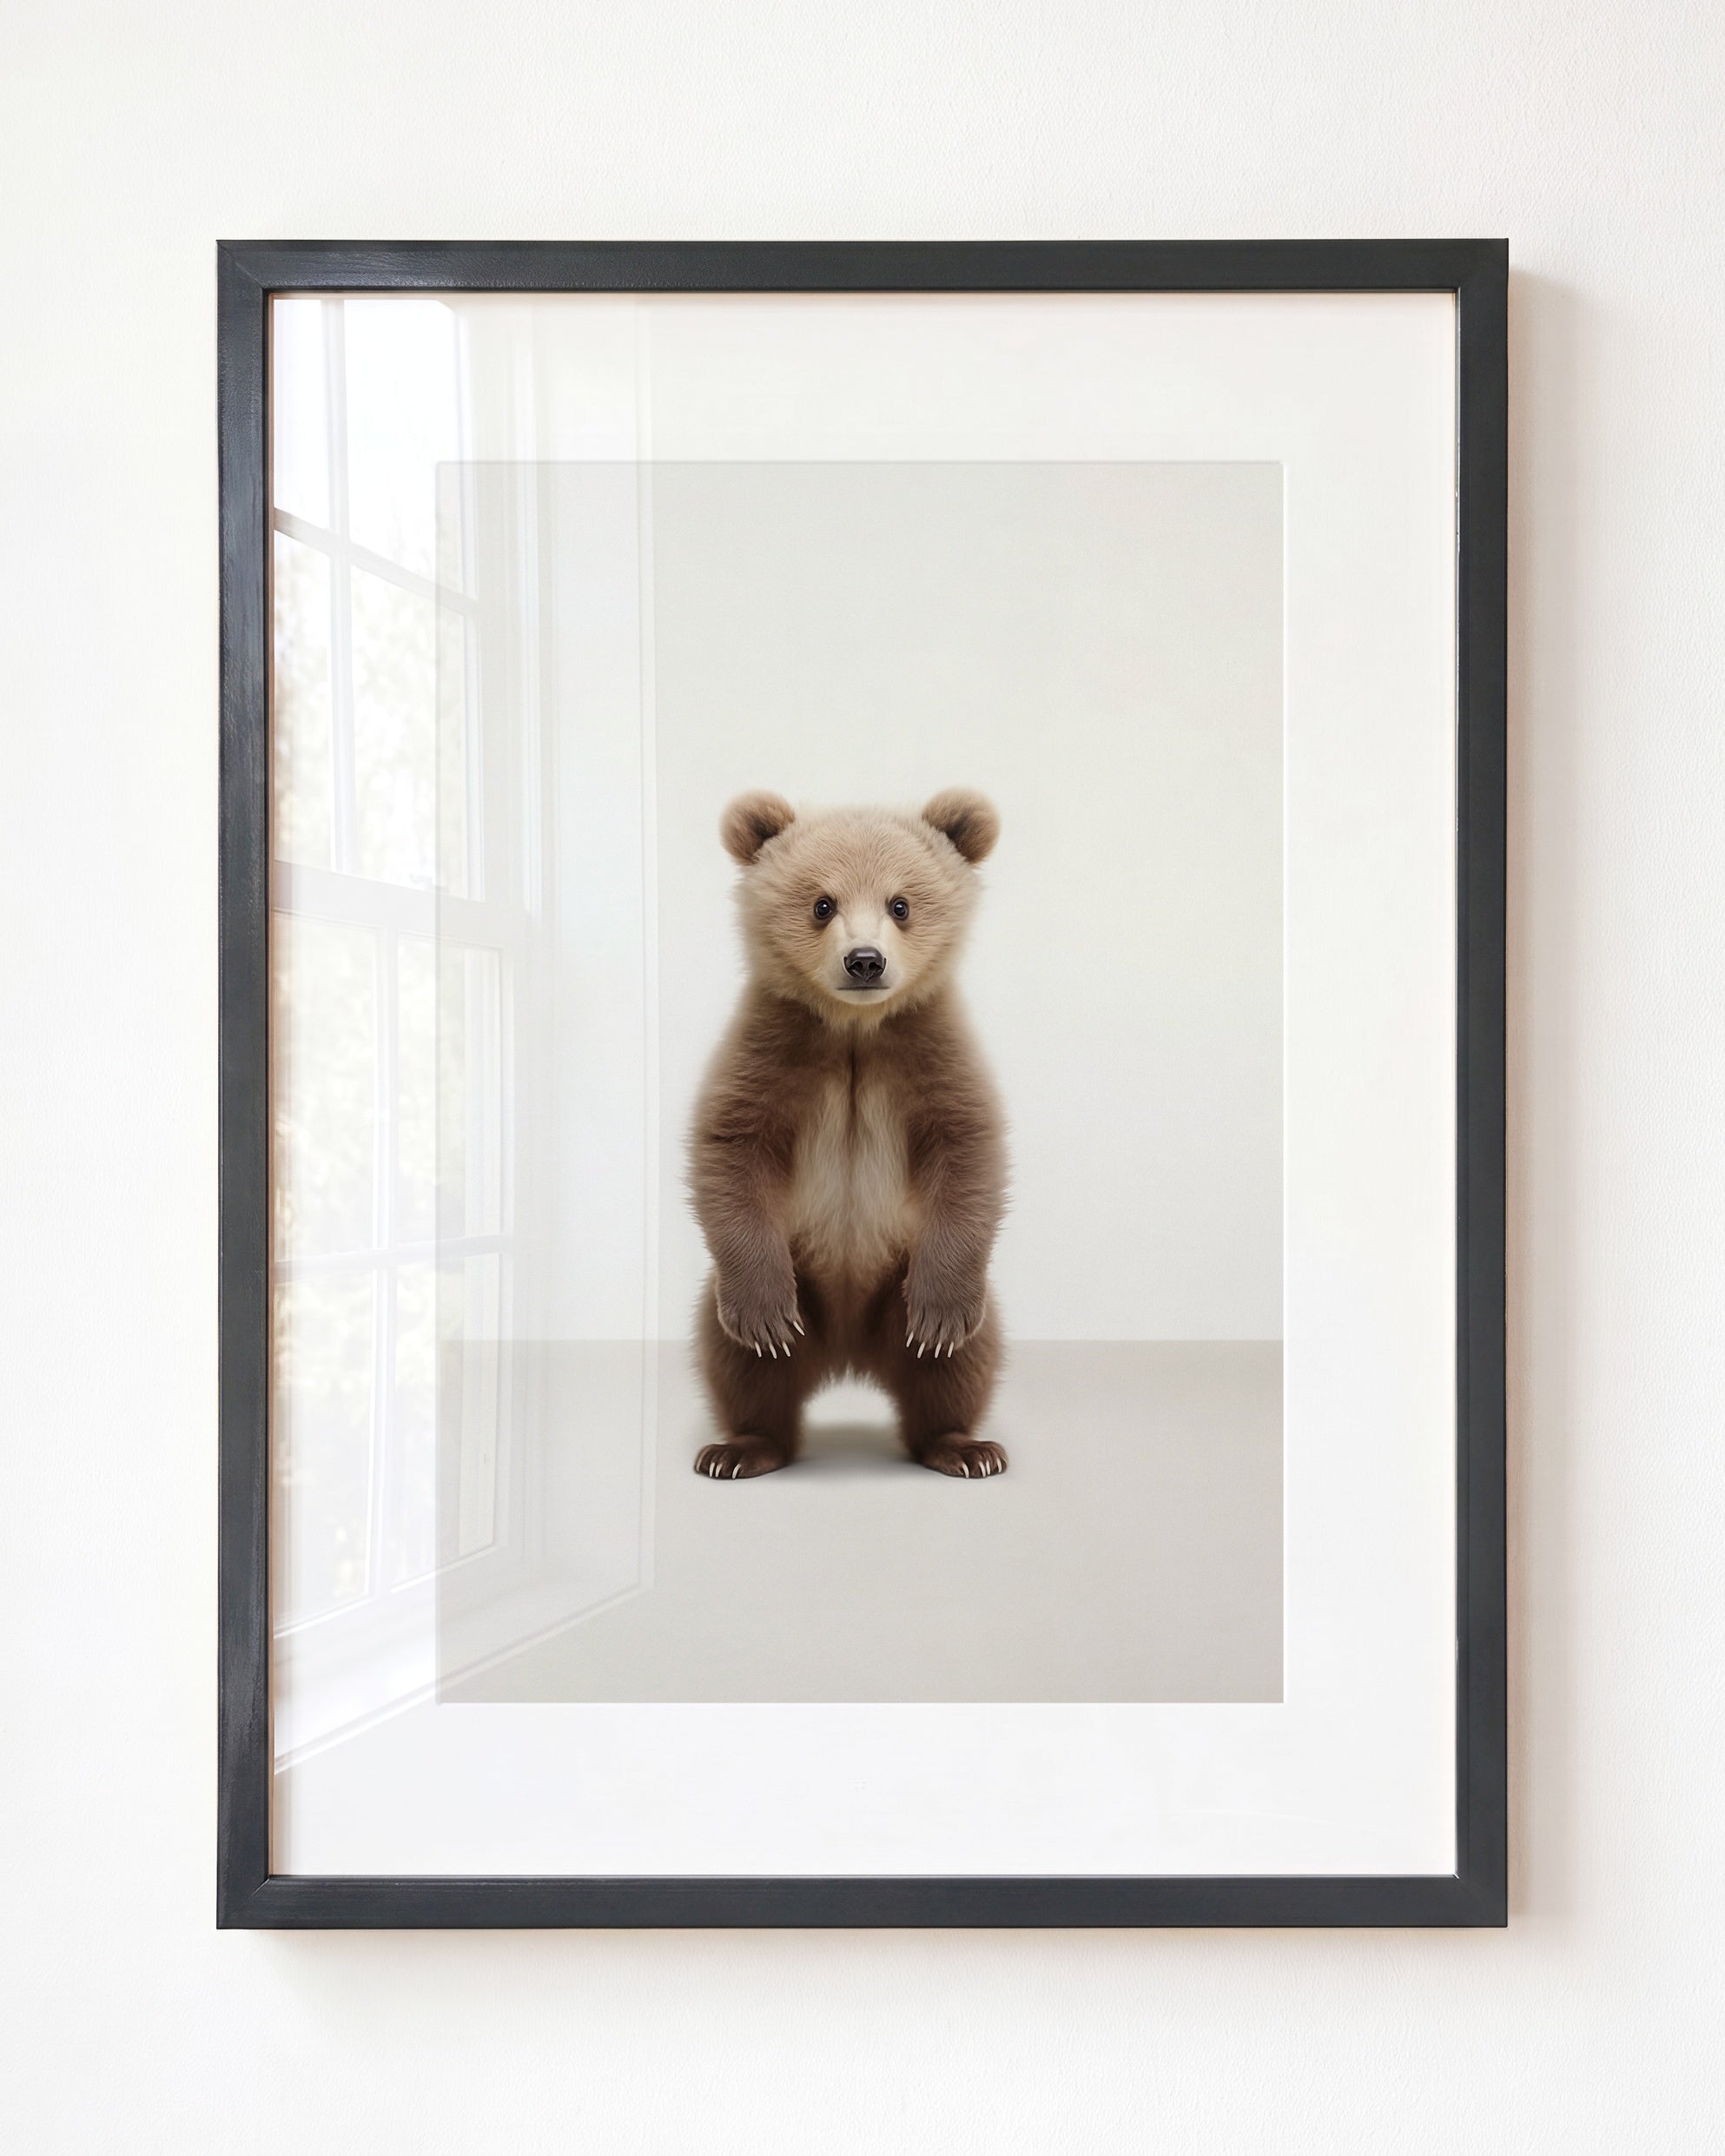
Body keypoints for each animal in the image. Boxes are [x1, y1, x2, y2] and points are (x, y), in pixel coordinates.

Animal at [690, 787, 1008, 1480]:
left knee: (959, 1363)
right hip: (797, 1284)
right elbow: (731, 1149)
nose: (865, 961)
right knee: (739, 1362)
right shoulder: (772, 1046)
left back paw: (963, 1447)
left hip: (899, 1287)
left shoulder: (929, 1046)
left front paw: (943, 1317)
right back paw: (740, 1448)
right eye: (822, 903)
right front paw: (762, 1316)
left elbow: (968, 1150)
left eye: (901, 904)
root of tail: (848, 1357)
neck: (855, 1028)